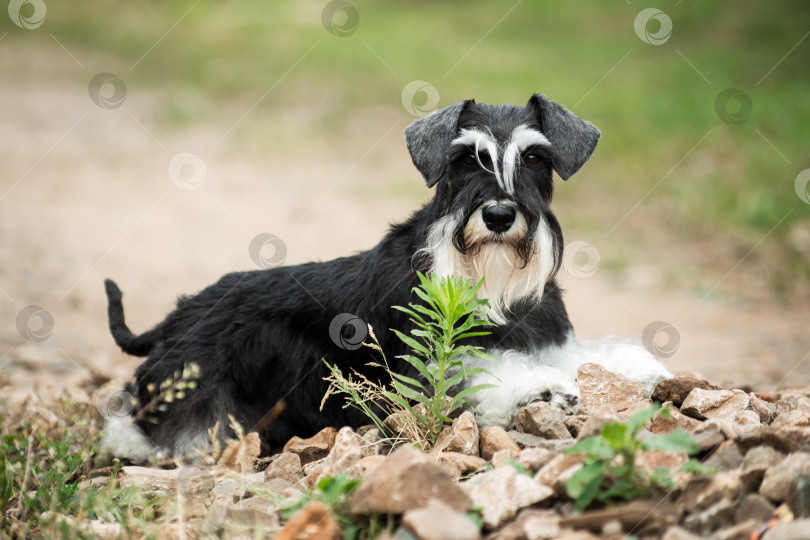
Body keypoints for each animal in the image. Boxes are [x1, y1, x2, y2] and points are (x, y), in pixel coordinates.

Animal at [101, 95, 668, 462]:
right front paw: (541, 390)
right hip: (190, 390)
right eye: (465, 159)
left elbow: (584, 357)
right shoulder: (427, 371)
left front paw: (637, 366)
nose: (499, 215)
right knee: (141, 426)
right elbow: (485, 375)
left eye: (535, 156)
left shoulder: (548, 339)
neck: (490, 286)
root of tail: (175, 317)